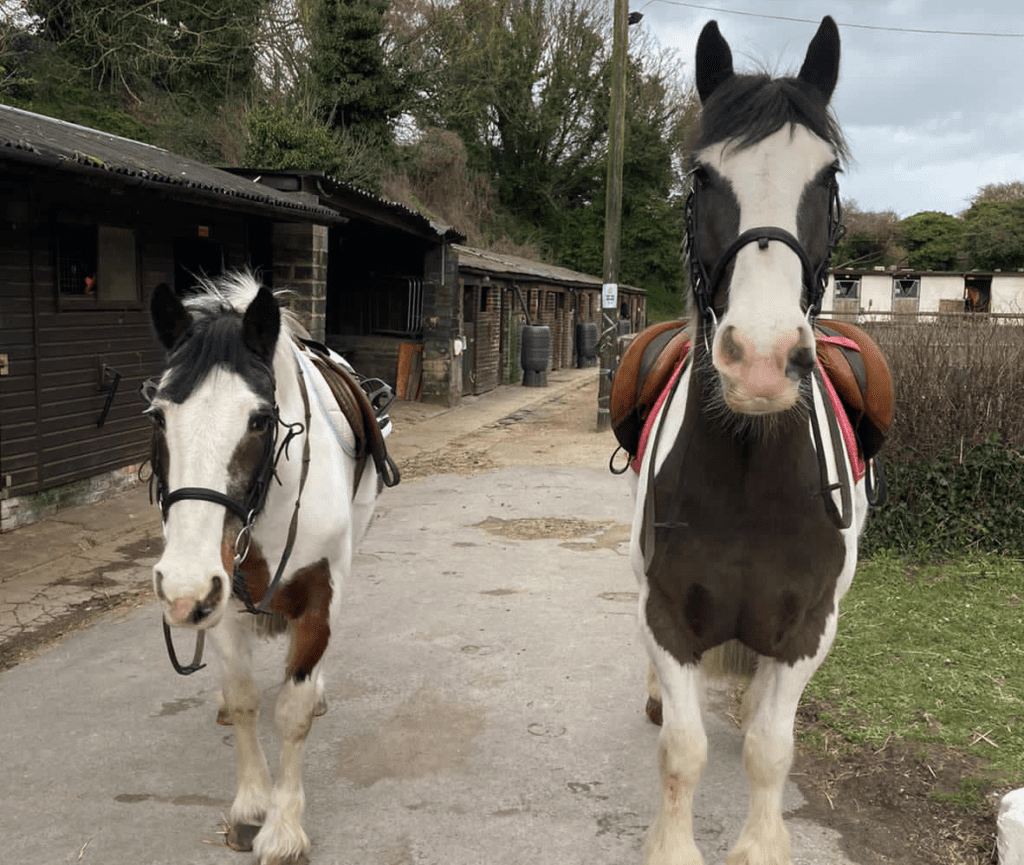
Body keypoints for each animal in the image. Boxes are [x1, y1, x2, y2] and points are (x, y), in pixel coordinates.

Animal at [146, 272, 397, 863]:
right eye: (159, 417)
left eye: (260, 420)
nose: (181, 587)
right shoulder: (221, 596)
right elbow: (243, 701)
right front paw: (250, 808)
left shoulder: (319, 598)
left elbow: (292, 711)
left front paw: (283, 828)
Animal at [626, 15, 876, 863]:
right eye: (703, 178)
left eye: (827, 179)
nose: (762, 360)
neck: (748, 469)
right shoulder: (668, 614)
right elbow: (683, 748)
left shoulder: (806, 627)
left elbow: (772, 746)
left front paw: (761, 843)